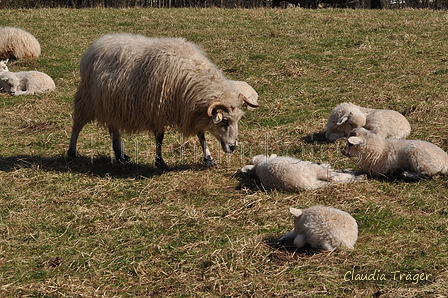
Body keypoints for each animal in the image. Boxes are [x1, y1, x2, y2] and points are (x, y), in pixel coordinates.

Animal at [65, 33, 258, 169]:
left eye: (236, 121)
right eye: (224, 121)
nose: (233, 147)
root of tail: (97, 44)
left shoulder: (193, 111)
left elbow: (201, 135)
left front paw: (208, 159)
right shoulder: (157, 110)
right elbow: (160, 137)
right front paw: (160, 161)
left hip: (112, 103)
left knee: (114, 128)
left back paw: (120, 155)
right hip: (88, 98)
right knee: (78, 124)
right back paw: (71, 151)